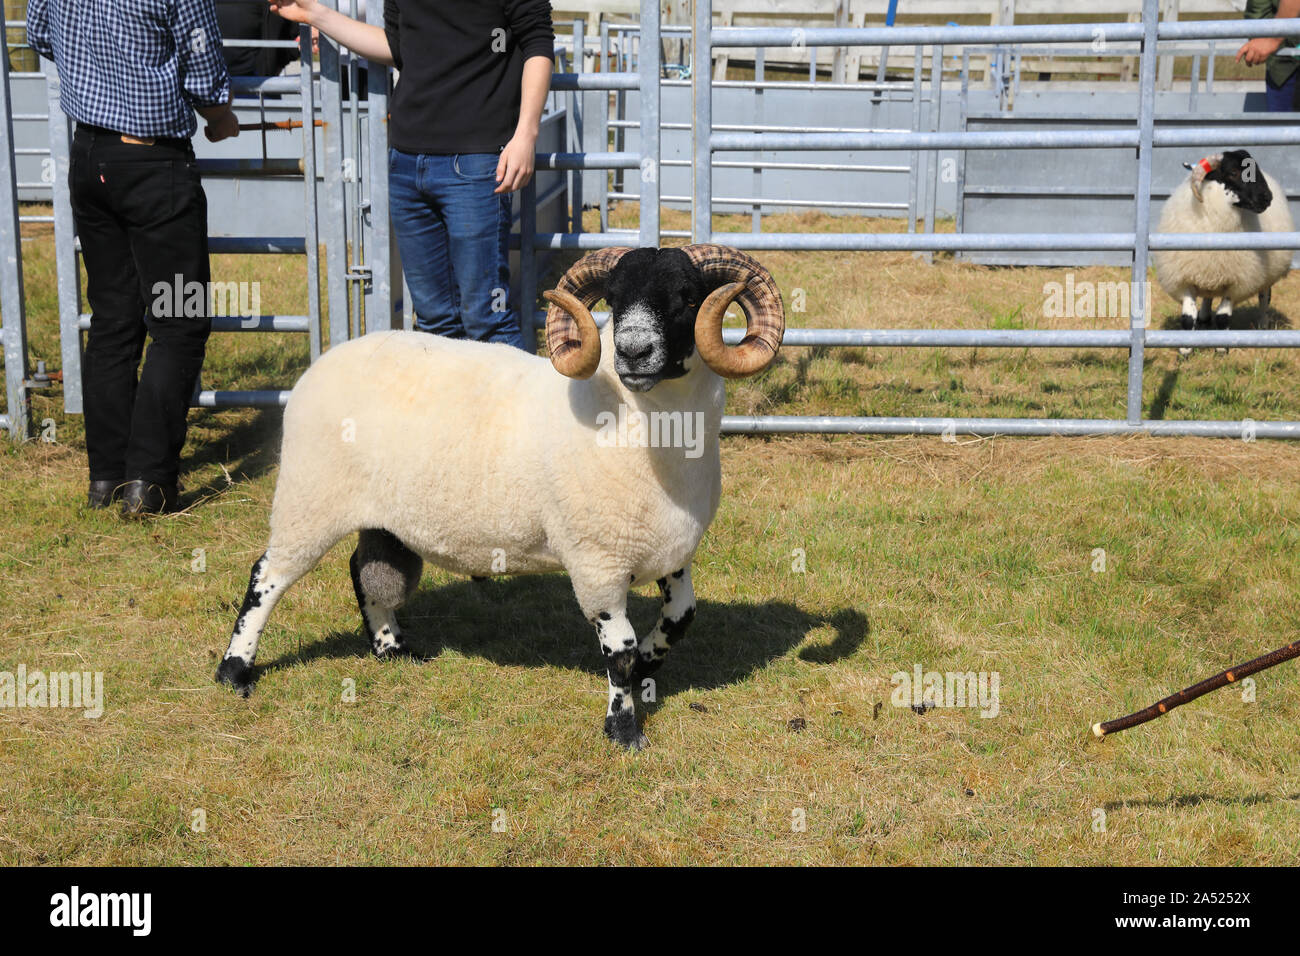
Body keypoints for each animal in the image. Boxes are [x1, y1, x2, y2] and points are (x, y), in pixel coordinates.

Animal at [215, 247, 780, 754]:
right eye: (615, 300)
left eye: (688, 296)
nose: (633, 352)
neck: (649, 432)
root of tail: (327, 358)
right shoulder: (595, 563)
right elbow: (616, 653)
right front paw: (624, 732)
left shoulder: (671, 550)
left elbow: (681, 618)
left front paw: (648, 663)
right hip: (309, 499)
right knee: (266, 577)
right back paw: (235, 671)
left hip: (382, 518)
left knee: (364, 570)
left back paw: (391, 649)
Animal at [1154, 145, 1294, 332]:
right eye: (1233, 172)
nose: (1267, 198)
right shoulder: (1183, 280)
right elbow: (1188, 319)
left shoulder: (1237, 284)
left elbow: (1222, 318)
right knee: (1208, 295)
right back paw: (1204, 317)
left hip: (1268, 272)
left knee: (1264, 297)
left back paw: (1263, 326)